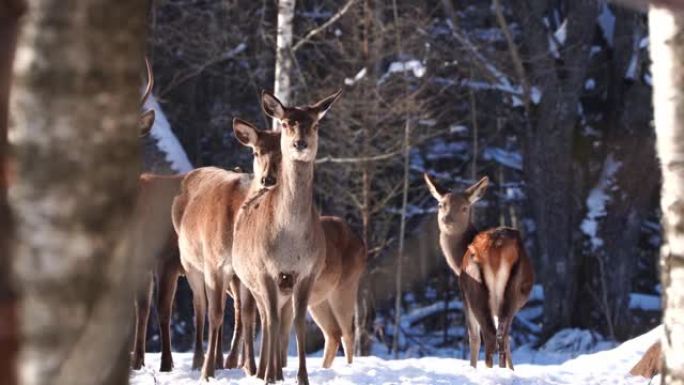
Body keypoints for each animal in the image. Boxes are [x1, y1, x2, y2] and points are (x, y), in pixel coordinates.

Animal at [172, 118, 282, 378]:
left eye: (284, 150)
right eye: (256, 151)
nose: (268, 179)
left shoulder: (246, 271)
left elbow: (249, 315)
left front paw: (252, 368)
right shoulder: (214, 263)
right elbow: (215, 314)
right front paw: (208, 371)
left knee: (237, 311)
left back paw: (226, 360)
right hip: (191, 263)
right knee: (201, 308)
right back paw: (199, 360)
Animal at [232, 88, 342, 382]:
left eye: (315, 124)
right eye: (285, 123)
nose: (300, 143)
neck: (290, 241)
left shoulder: (308, 272)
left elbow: (299, 323)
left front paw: (302, 376)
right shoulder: (265, 269)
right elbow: (270, 320)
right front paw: (270, 375)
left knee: (277, 320)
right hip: (250, 281)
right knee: (264, 318)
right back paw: (264, 371)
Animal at [422, 172, 536, 368]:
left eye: (464, 207)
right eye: (440, 205)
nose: (447, 220)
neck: (457, 260)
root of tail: (497, 248)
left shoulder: (464, 293)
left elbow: (473, 337)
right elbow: (508, 339)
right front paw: (512, 370)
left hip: (475, 288)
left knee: (488, 335)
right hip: (512, 291)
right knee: (502, 335)